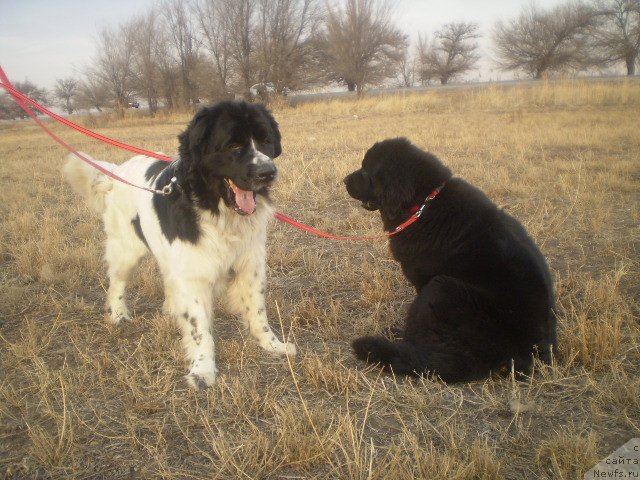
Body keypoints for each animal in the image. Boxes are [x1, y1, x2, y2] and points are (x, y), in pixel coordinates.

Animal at [65, 99, 296, 388]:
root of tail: (116, 172)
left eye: (265, 141)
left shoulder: (250, 265)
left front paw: (272, 344)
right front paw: (203, 370)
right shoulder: (193, 274)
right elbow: (200, 328)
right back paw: (118, 314)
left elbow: (257, 310)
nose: (268, 172)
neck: (216, 209)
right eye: (233, 145)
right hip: (126, 249)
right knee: (117, 281)